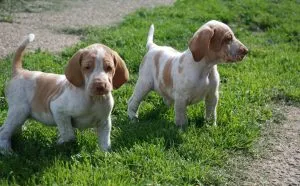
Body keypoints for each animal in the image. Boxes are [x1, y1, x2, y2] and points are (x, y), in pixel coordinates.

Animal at [0, 33, 129, 153]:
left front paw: (105, 155)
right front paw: (60, 142)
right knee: (4, 131)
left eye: (109, 68)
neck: (93, 99)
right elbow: (69, 134)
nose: (100, 86)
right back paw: (7, 151)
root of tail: (19, 71)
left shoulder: (104, 121)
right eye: (87, 67)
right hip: (19, 110)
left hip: (21, 114)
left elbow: (105, 142)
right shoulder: (58, 110)